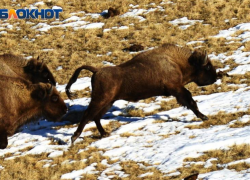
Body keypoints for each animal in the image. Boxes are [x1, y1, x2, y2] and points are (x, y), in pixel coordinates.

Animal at [66, 43, 217, 143]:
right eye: (207, 67)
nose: (216, 77)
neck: (177, 63)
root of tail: (97, 70)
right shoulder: (177, 89)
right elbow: (190, 101)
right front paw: (204, 117)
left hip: (108, 102)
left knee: (96, 117)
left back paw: (104, 134)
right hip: (100, 100)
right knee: (88, 115)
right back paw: (74, 137)